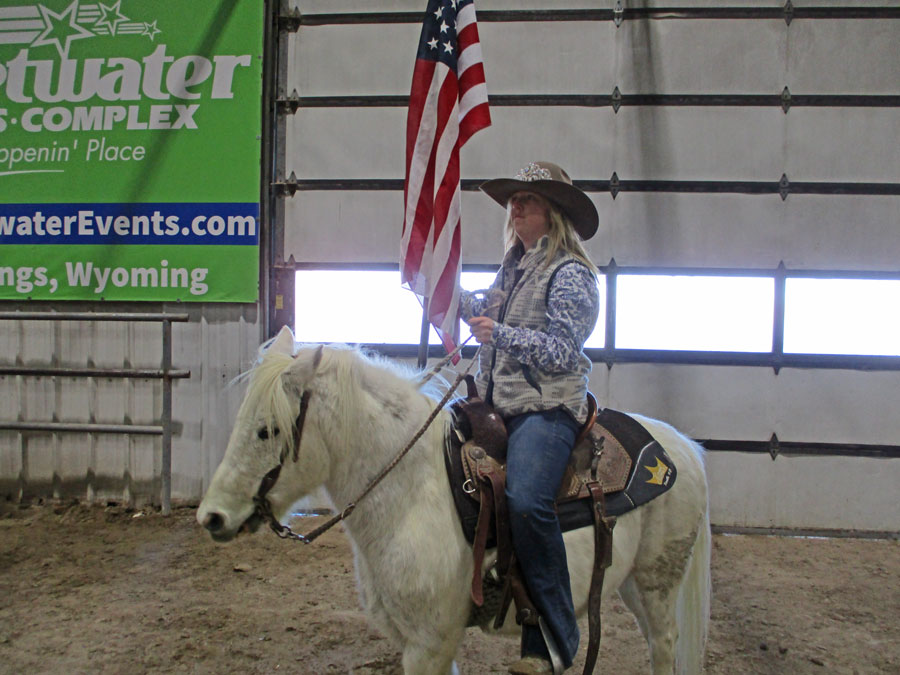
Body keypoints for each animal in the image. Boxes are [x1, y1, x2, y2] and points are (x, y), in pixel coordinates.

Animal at [197, 326, 711, 675]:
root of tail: (679, 447)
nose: (212, 516)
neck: (410, 492)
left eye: (268, 430)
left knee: (664, 646)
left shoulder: (430, 642)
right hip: (630, 584)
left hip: (658, 582)